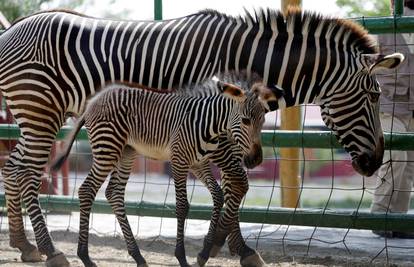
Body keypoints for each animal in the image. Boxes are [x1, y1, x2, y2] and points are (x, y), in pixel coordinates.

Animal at [51, 78, 278, 267]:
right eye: (246, 121)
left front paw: (204, 254)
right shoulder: (179, 162)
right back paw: (85, 257)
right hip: (108, 147)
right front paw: (182, 257)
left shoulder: (199, 164)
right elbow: (182, 207)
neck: (209, 126)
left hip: (126, 152)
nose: (256, 160)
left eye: (262, 122)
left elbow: (218, 196)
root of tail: (93, 102)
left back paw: (138, 256)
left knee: (113, 193)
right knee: (87, 190)